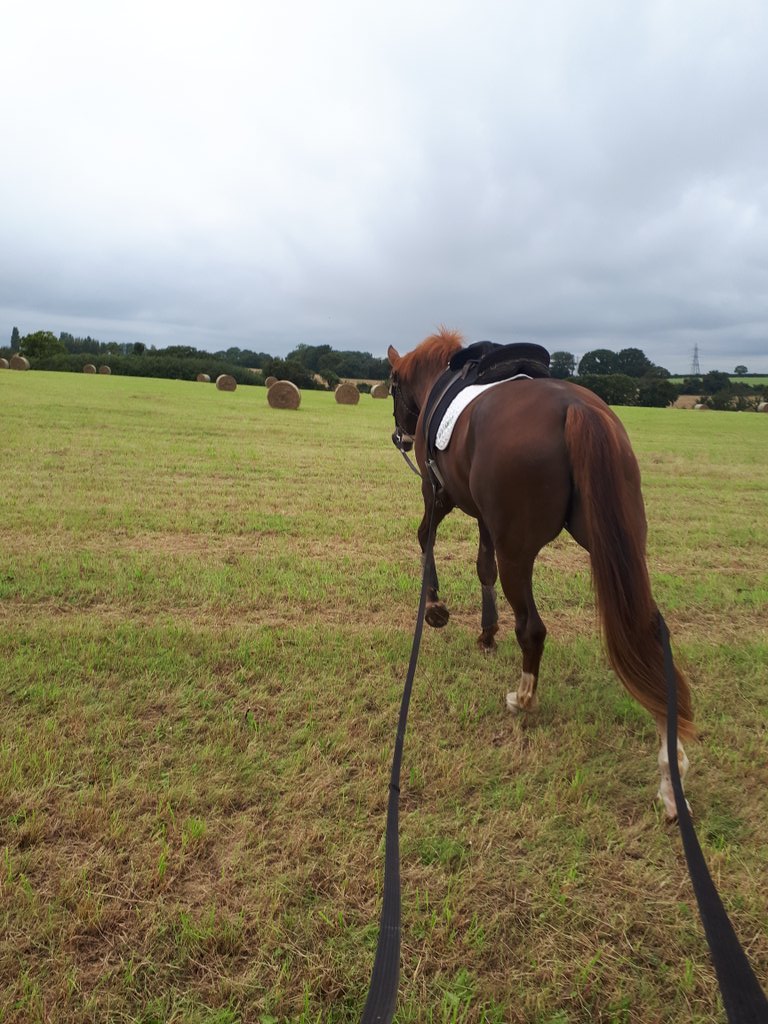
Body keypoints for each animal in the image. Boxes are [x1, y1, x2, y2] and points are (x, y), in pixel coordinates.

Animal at [387, 327, 694, 818]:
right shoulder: (484, 518)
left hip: (519, 550)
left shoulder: (437, 493)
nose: (400, 435)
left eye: (393, 386)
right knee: (646, 630)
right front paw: (486, 632)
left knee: (531, 627)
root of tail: (575, 408)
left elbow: (426, 541)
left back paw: (523, 698)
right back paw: (671, 765)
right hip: (620, 542)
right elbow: (483, 567)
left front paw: (434, 607)